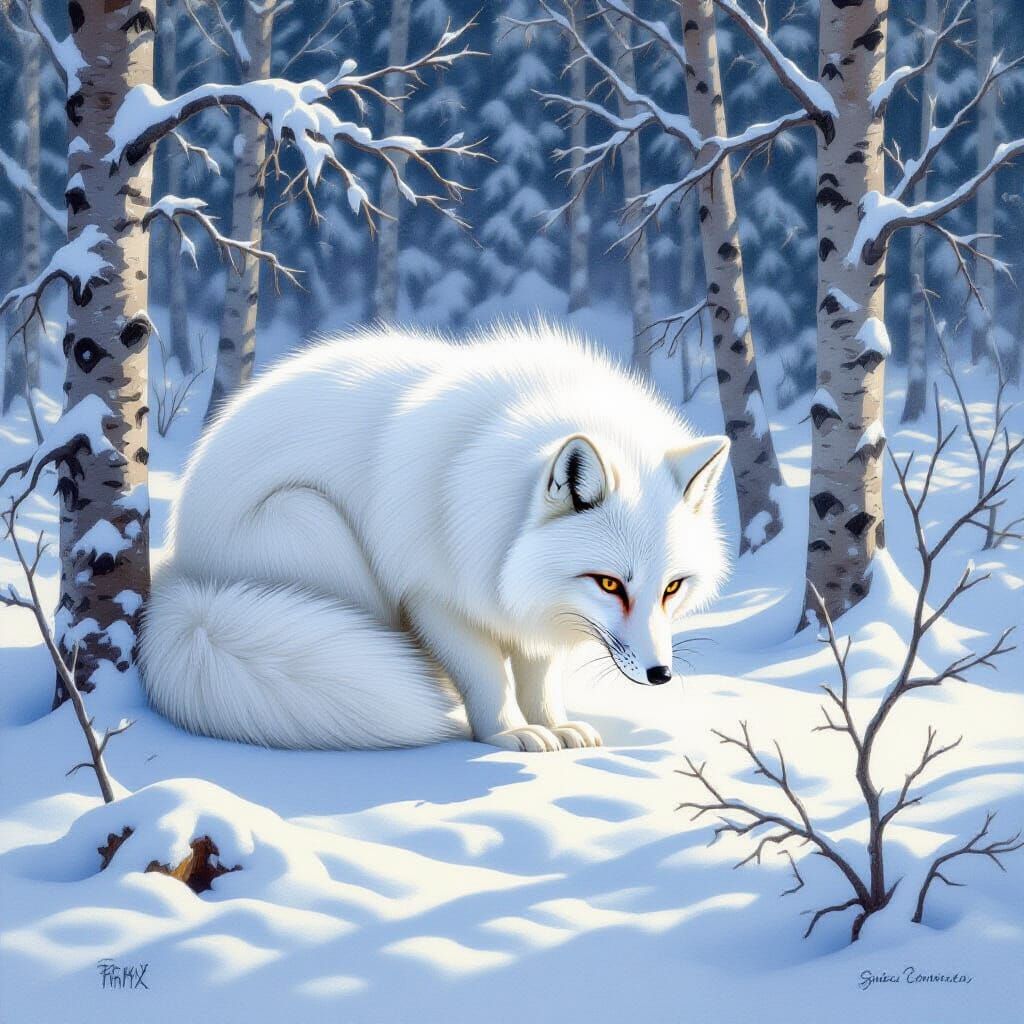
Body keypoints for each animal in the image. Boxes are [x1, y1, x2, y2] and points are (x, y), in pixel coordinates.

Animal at [140, 323, 731, 753]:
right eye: (609, 584)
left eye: (672, 588)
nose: (660, 674)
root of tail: (182, 568)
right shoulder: (435, 598)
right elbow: (488, 676)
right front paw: (506, 734)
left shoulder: (536, 610)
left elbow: (539, 679)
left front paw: (556, 725)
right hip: (311, 521)